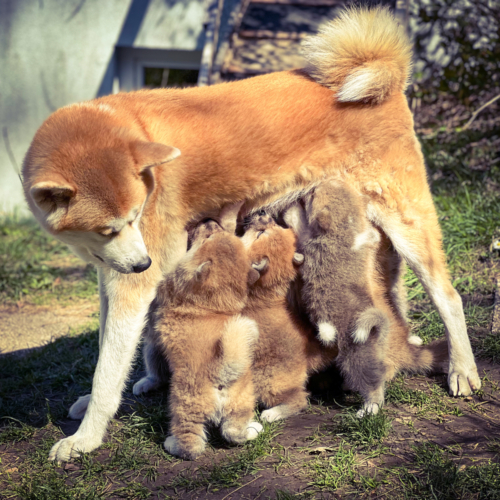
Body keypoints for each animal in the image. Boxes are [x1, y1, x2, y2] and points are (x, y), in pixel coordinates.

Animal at [148, 213, 262, 458]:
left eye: (208, 236)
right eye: (215, 232)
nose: (209, 220)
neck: (209, 306)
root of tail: (220, 372)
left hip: (186, 409)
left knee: (190, 446)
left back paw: (171, 444)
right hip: (241, 402)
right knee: (234, 433)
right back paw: (253, 430)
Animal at [241, 211, 338, 422]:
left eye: (260, 234)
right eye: (280, 227)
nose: (263, 213)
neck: (263, 291)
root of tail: (306, 352)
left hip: (267, 381)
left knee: (299, 400)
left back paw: (271, 414)